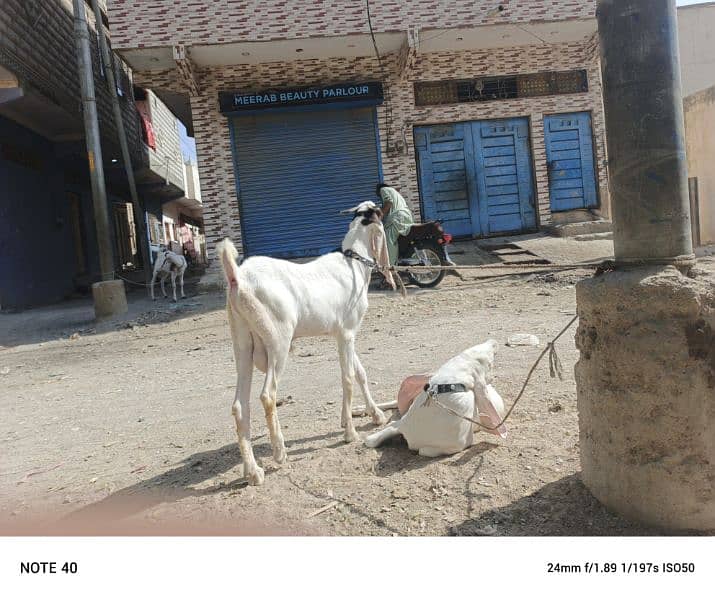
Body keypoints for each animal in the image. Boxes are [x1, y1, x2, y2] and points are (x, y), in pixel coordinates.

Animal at [218, 202, 398, 488]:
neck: (353, 264)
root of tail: (238, 278)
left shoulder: (343, 334)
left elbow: (360, 372)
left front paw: (375, 415)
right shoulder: (347, 333)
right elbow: (348, 377)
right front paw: (350, 432)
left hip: (242, 344)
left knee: (239, 405)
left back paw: (253, 471)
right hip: (278, 343)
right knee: (268, 395)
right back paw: (279, 452)